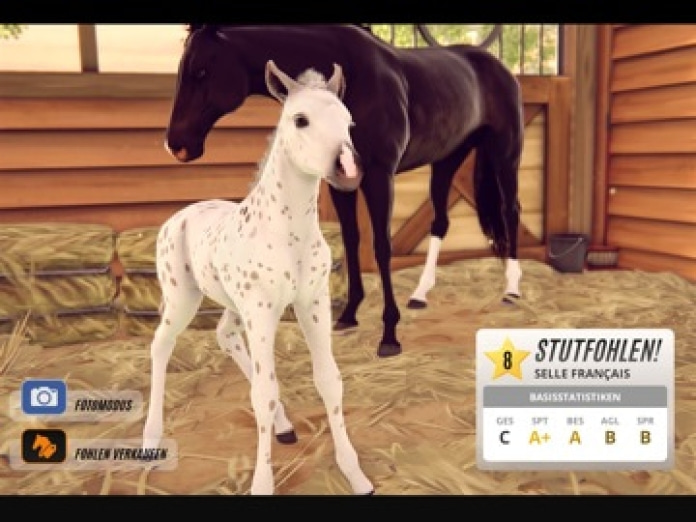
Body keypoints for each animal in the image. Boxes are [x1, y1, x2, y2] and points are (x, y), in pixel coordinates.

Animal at [143, 60, 374, 495]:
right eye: (300, 119)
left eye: (350, 122)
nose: (349, 169)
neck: (288, 234)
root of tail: (176, 217)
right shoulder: (263, 310)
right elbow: (263, 393)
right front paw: (263, 484)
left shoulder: (311, 303)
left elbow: (329, 380)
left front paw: (355, 474)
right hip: (184, 299)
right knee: (161, 346)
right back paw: (150, 440)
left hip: (236, 305)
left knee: (224, 334)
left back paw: (284, 425)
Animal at [165, 24, 524, 358]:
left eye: (201, 71)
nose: (176, 145)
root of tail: (498, 67)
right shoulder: (340, 182)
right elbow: (351, 241)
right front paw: (349, 316)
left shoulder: (380, 176)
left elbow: (381, 246)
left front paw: (389, 336)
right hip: (447, 159)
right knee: (440, 222)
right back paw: (421, 294)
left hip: (505, 153)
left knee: (510, 211)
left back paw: (512, 290)